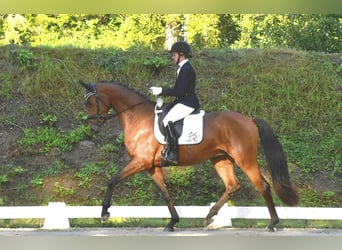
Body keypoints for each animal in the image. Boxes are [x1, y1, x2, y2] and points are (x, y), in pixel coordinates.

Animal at [79, 80, 298, 232]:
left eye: (90, 102)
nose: (93, 127)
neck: (137, 117)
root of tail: (249, 119)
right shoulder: (152, 166)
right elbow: (166, 193)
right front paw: (172, 222)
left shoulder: (141, 161)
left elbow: (112, 180)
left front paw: (105, 213)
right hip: (220, 160)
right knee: (232, 185)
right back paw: (209, 216)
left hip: (245, 159)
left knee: (263, 186)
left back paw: (272, 223)